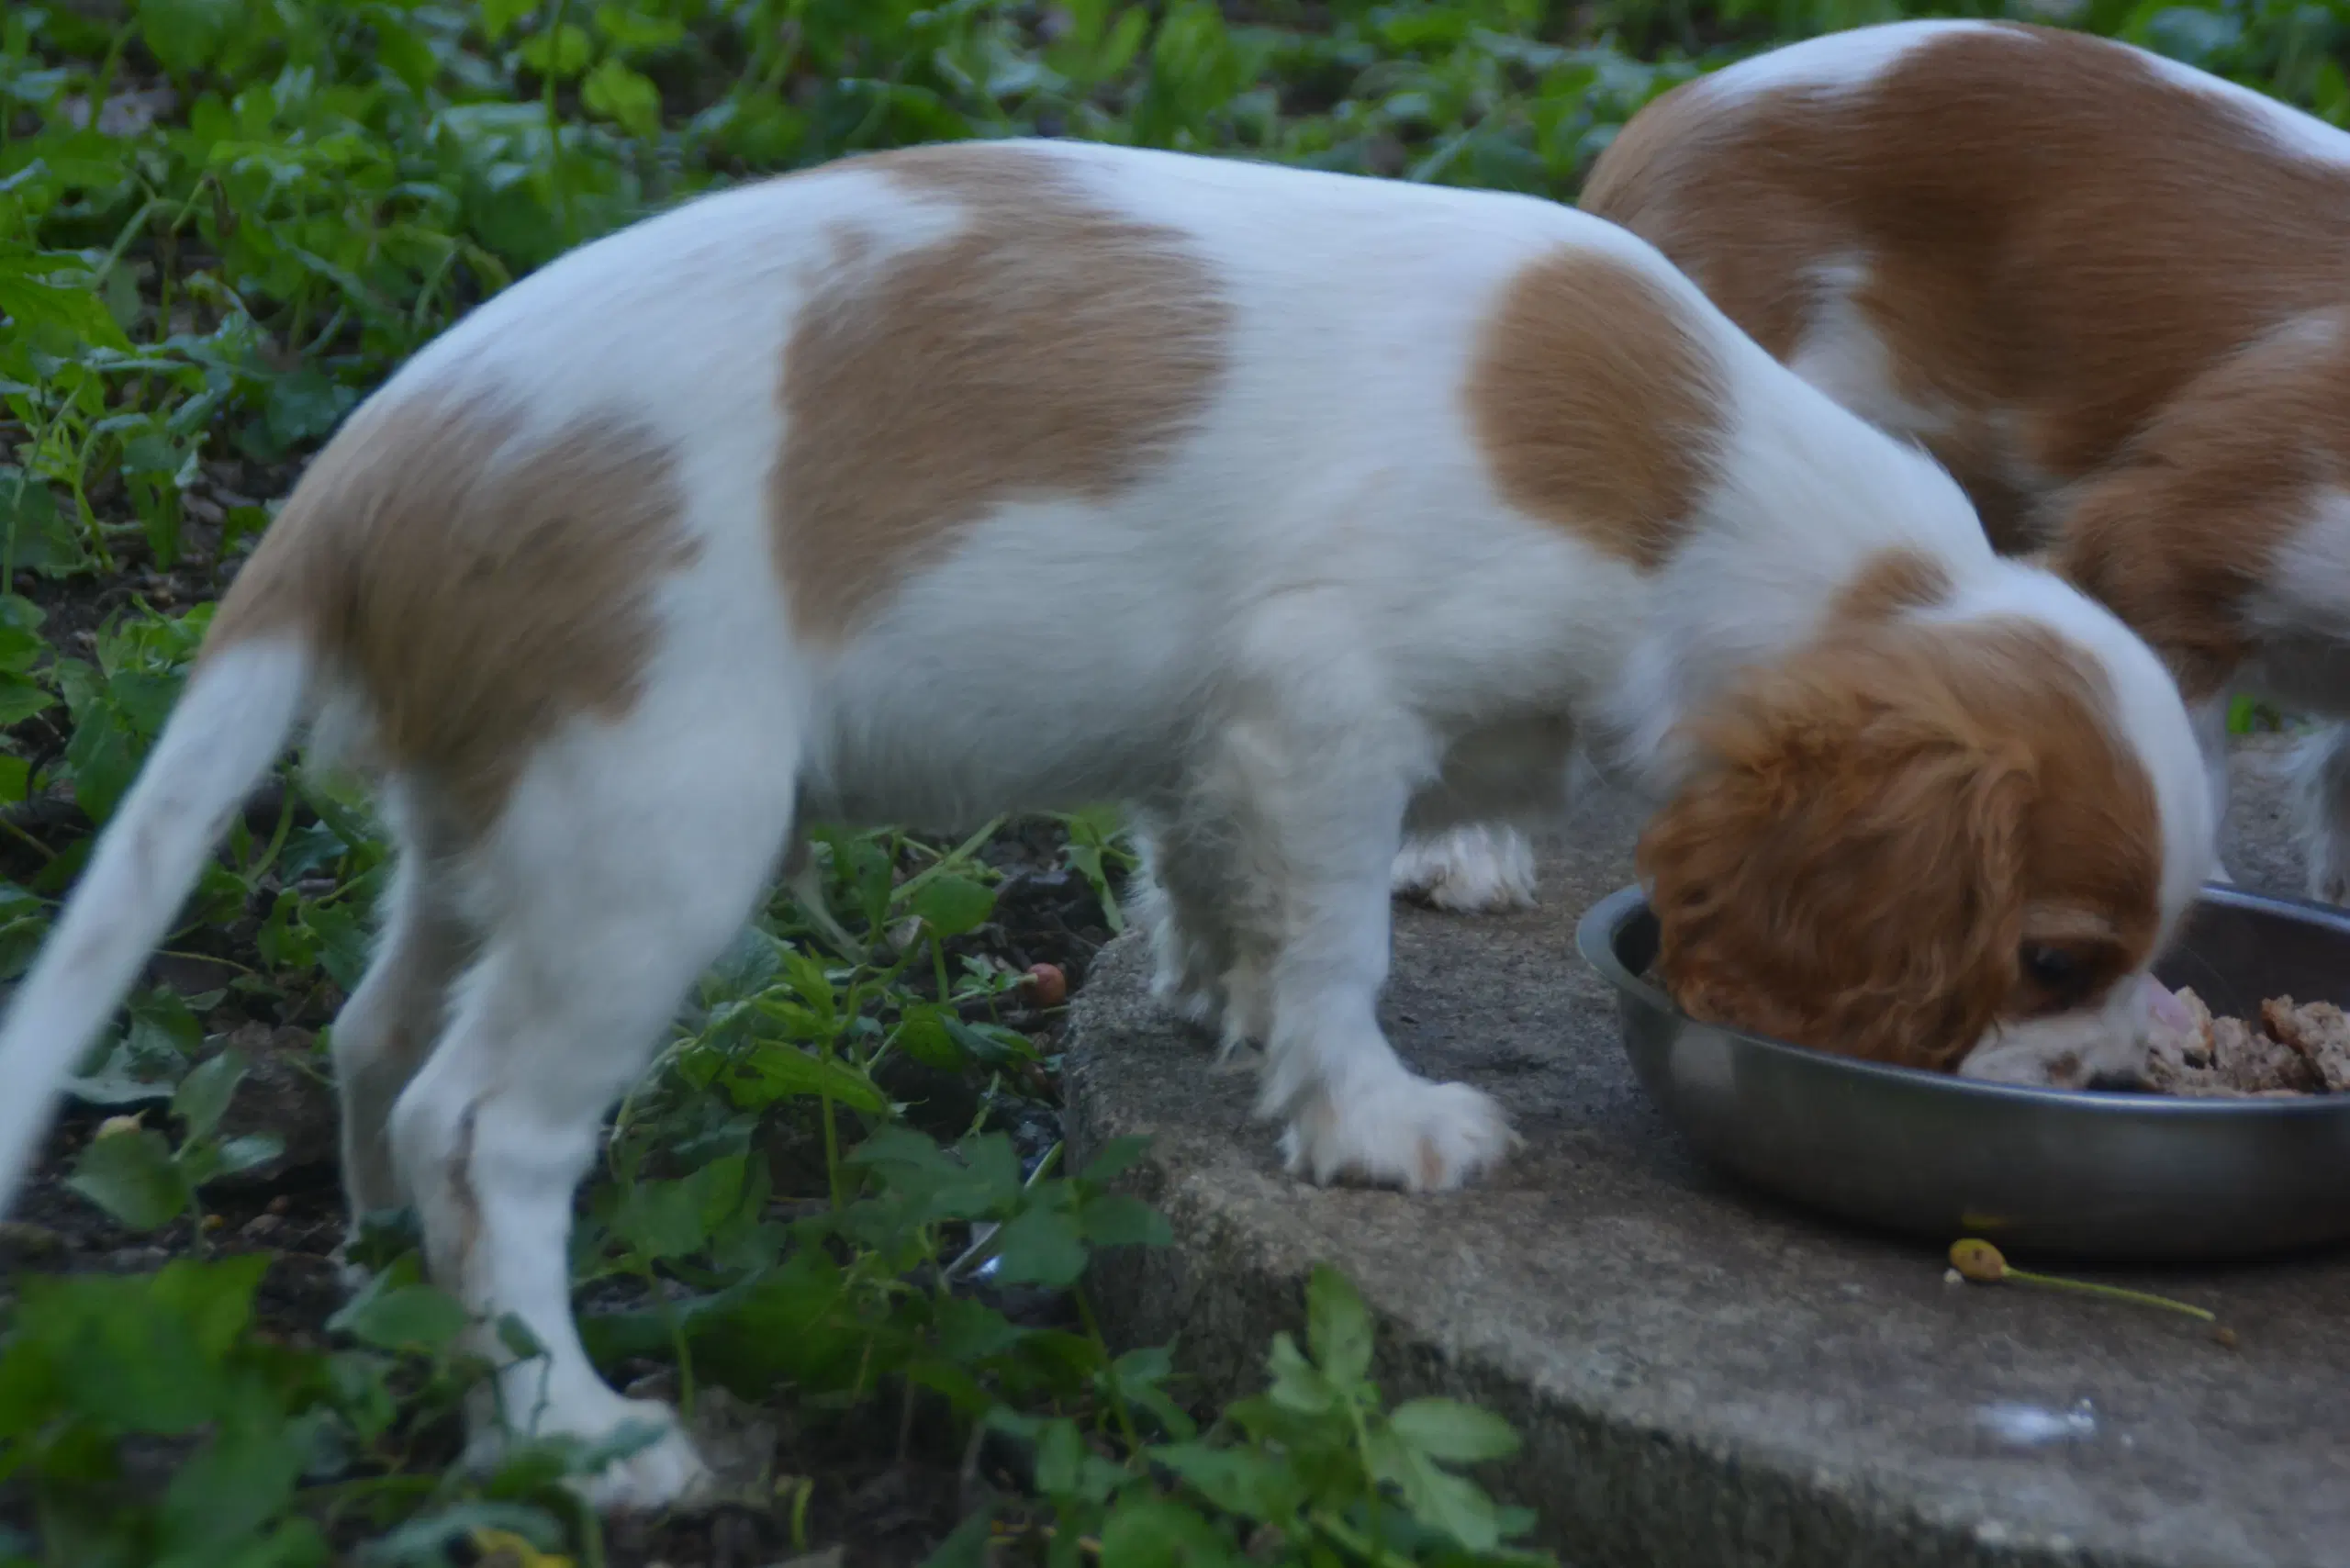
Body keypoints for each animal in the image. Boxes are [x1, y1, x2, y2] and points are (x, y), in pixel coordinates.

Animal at [0, 138, 2199, 1504]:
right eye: (2053, 958)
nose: (2118, 1078)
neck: (1709, 500)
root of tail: (364, 471)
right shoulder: (1331, 699)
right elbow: (1343, 934)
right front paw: (1367, 1114)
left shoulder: (1222, 731)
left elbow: (1212, 871)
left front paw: (1212, 999)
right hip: (654, 827)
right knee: (488, 1124)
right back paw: (577, 1432)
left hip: (496, 815)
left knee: (378, 1036)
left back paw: (394, 1292)